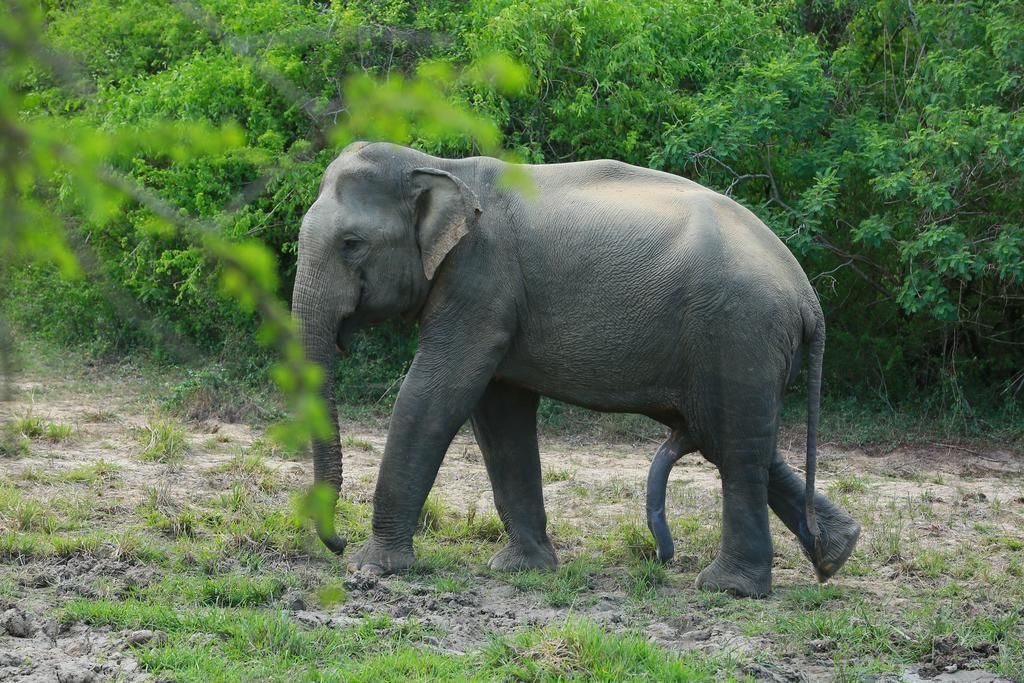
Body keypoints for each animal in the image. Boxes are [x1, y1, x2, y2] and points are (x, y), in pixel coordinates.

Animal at [292, 140, 860, 598]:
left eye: (351, 244)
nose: (336, 542)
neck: (438, 166)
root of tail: (807, 296)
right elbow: (499, 414)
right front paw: (522, 569)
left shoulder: (480, 283)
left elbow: (436, 393)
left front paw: (372, 568)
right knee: (735, 438)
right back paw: (836, 555)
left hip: (739, 332)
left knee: (737, 447)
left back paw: (730, 589)